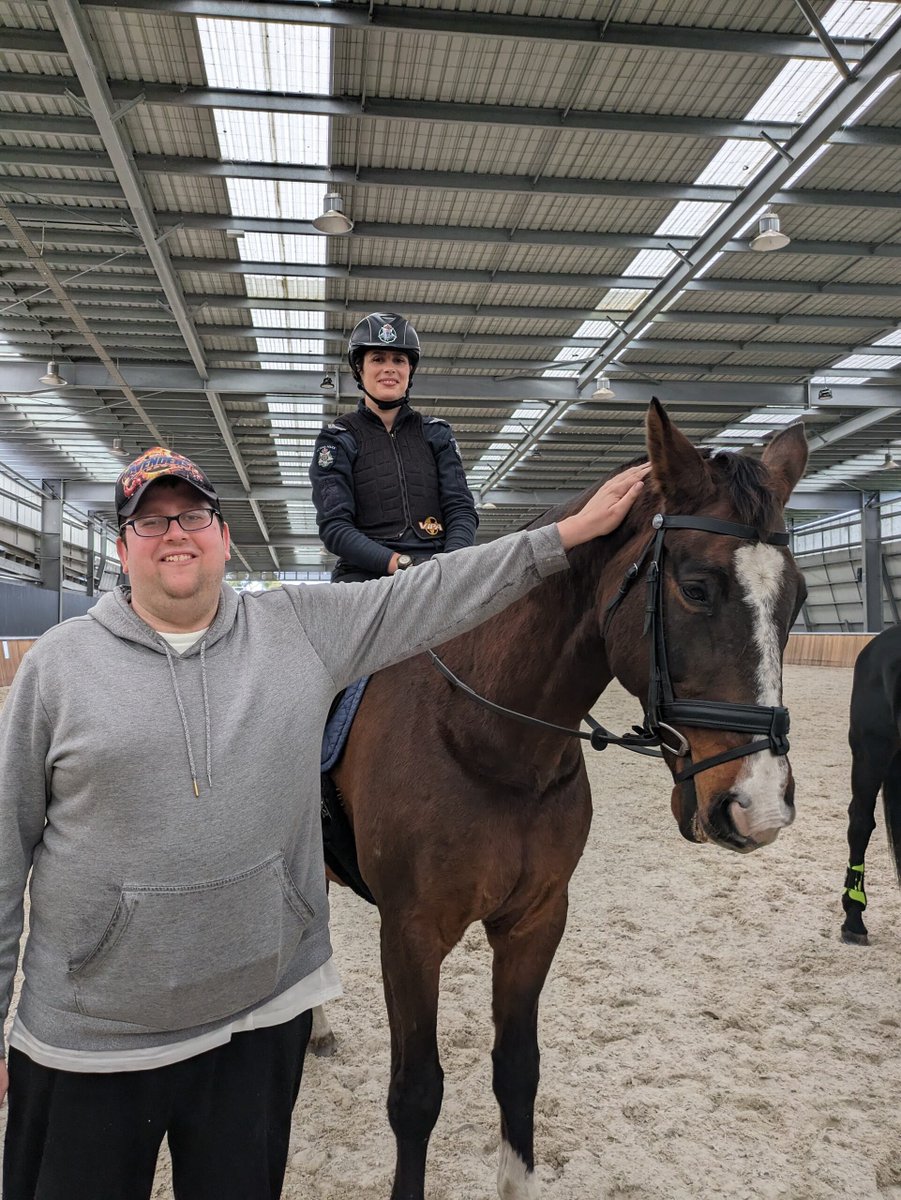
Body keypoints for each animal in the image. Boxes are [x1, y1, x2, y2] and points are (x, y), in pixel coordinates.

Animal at [331, 403, 811, 1200]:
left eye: (797, 599)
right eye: (697, 587)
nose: (758, 805)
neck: (486, 741)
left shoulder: (535, 921)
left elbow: (517, 1072)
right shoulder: (409, 934)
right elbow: (416, 1094)